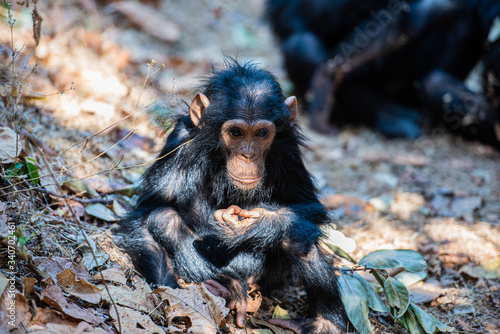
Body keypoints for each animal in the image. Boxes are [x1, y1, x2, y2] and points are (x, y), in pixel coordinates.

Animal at [118, 60, 348, 334]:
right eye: (236, 132)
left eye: (261, 134)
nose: (248, 155)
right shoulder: (181, 142)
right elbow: (150, 209)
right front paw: (172, 288)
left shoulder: (288, 149)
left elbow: (307, 206)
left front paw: (259, 223)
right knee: (163, 218)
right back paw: (226, 286)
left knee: (297, 239)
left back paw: (325, 323)